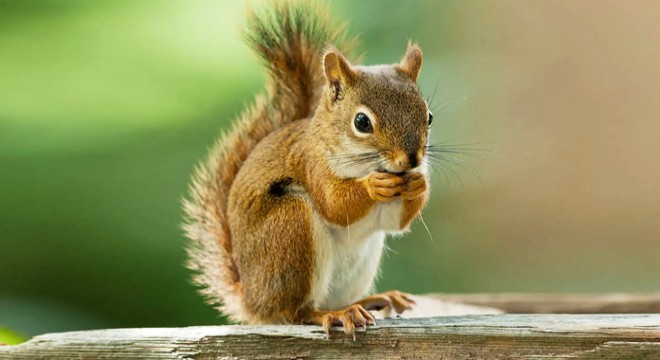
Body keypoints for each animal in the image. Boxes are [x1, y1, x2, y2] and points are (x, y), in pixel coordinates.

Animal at [184, 0, 434, 338]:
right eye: (361, 122)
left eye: (429, 116)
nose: (412, 160)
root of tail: (253, 301)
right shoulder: (312, 163)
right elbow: (335, 204)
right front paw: (373, 186)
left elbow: (397, 222)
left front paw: (420, 183)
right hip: (291, 229)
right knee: (296, 312)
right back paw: (336, 314)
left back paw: (371, 300)